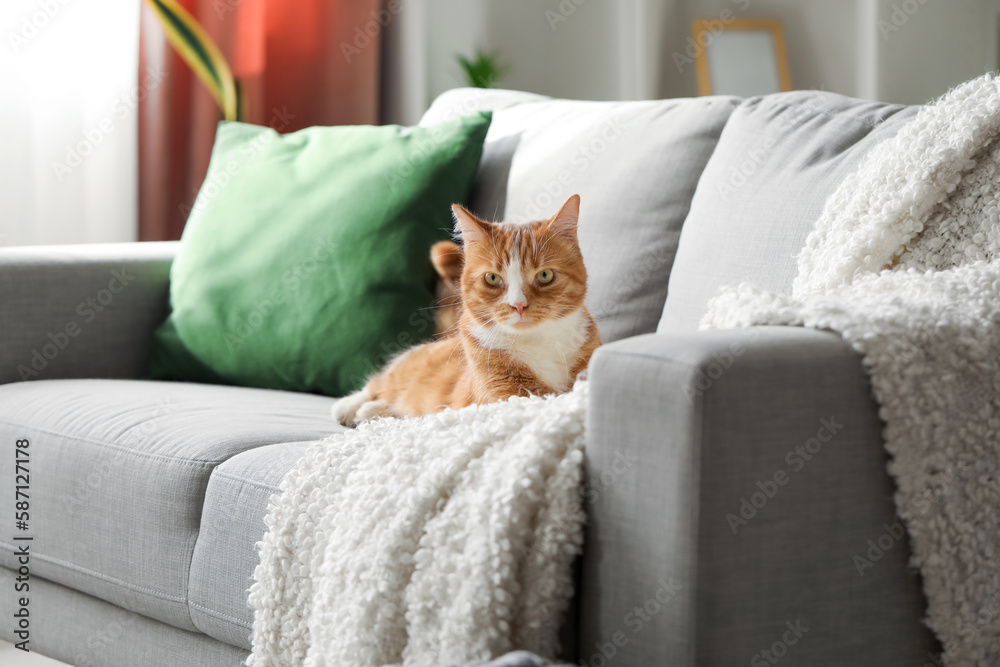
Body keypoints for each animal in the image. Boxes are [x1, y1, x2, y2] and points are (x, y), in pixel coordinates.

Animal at [334, 196, 600, 428]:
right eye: (492, 278)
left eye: (545, 275)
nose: (519, 305)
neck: (537, 343)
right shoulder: (501, 393)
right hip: (407, 367)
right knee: (381, 381)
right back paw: (350, 407)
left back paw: (371, 412)